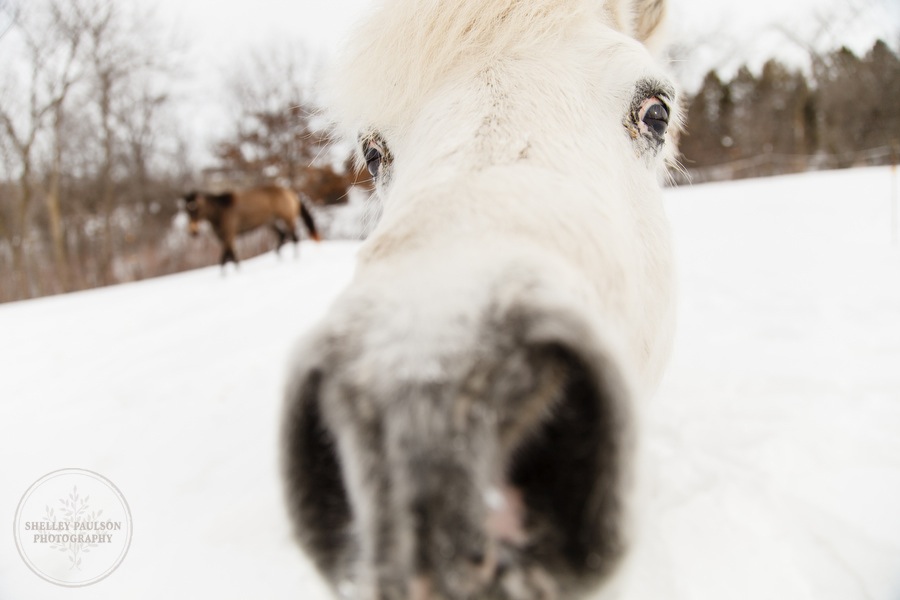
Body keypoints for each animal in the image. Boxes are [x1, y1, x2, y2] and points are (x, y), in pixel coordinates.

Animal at [183, 184, 320, 266]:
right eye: (186, 210)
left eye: (196, 209)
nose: (192, 232)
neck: (221, 211)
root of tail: (290, 191)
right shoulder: (223, 237)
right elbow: (231, 257)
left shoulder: (229, 235)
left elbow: (226, 258)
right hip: (270, 221)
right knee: (282, 235)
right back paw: (279, 256)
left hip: (287, 219)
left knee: (294, 237)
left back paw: (295, 258)